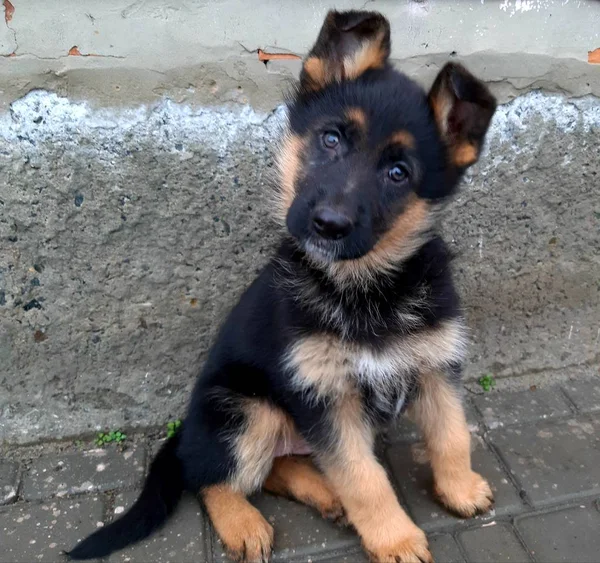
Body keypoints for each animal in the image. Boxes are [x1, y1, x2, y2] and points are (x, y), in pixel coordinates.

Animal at [68, 8, 496, 563]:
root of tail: (187, 431)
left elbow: (451, 436)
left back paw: (323, 493)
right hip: (246, 411)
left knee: (277, 467)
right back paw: (245, 525)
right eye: (331, 139)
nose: (328, 225)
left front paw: (460, 489)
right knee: (211, 479)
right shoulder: (325, 396)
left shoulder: (435, 368)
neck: (365, 289)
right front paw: (396, 538)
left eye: (399, 173)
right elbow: (365, 478)